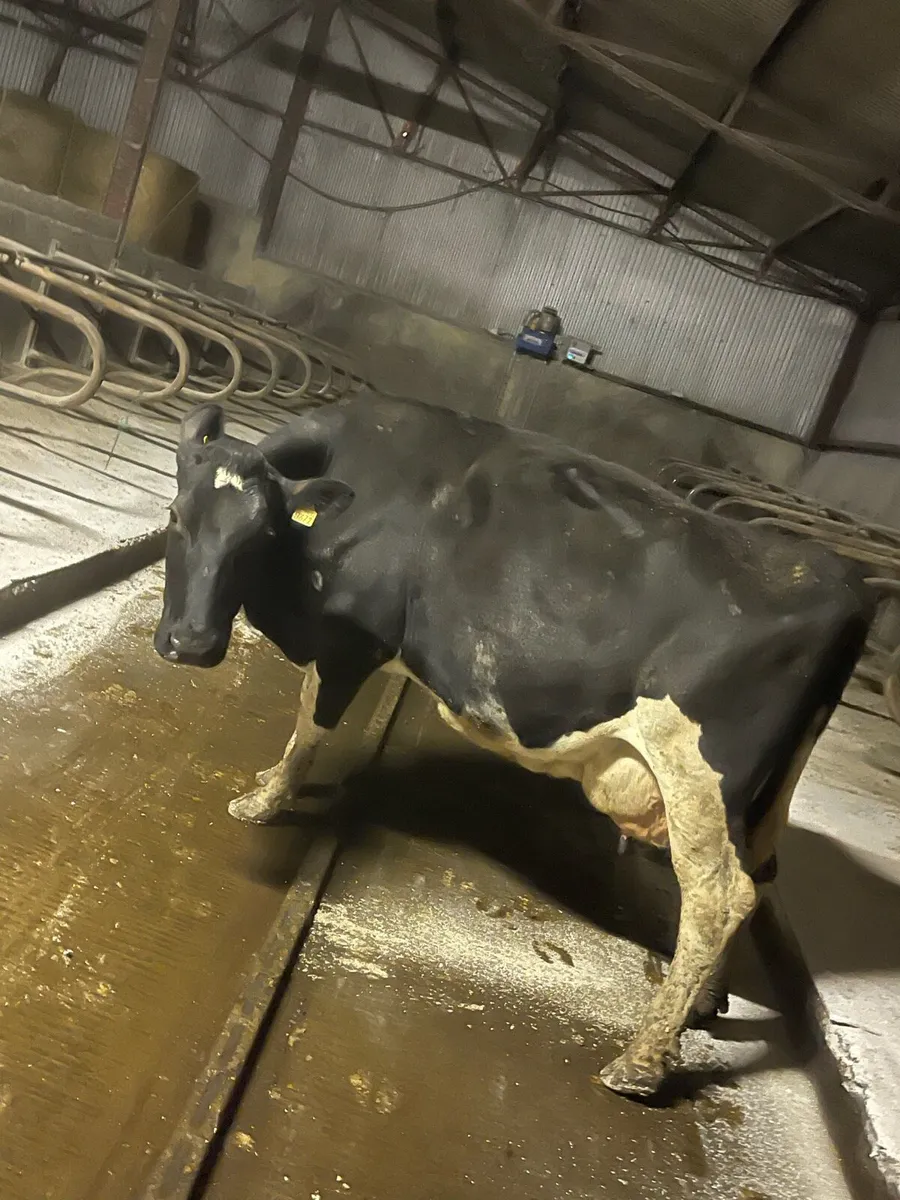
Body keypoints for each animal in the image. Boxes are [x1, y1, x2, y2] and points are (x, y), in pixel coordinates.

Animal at [154, 392, 874, 1099]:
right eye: (175, 518)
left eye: (263, 534)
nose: (190, 643)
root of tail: (837, 579)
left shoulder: (350, 643)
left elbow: (310, 723)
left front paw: (265, 801)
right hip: (761, 798)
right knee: (758, 875)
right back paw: (698, 1006)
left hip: (697, 770)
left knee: (719, 897)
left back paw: (640, 1063)